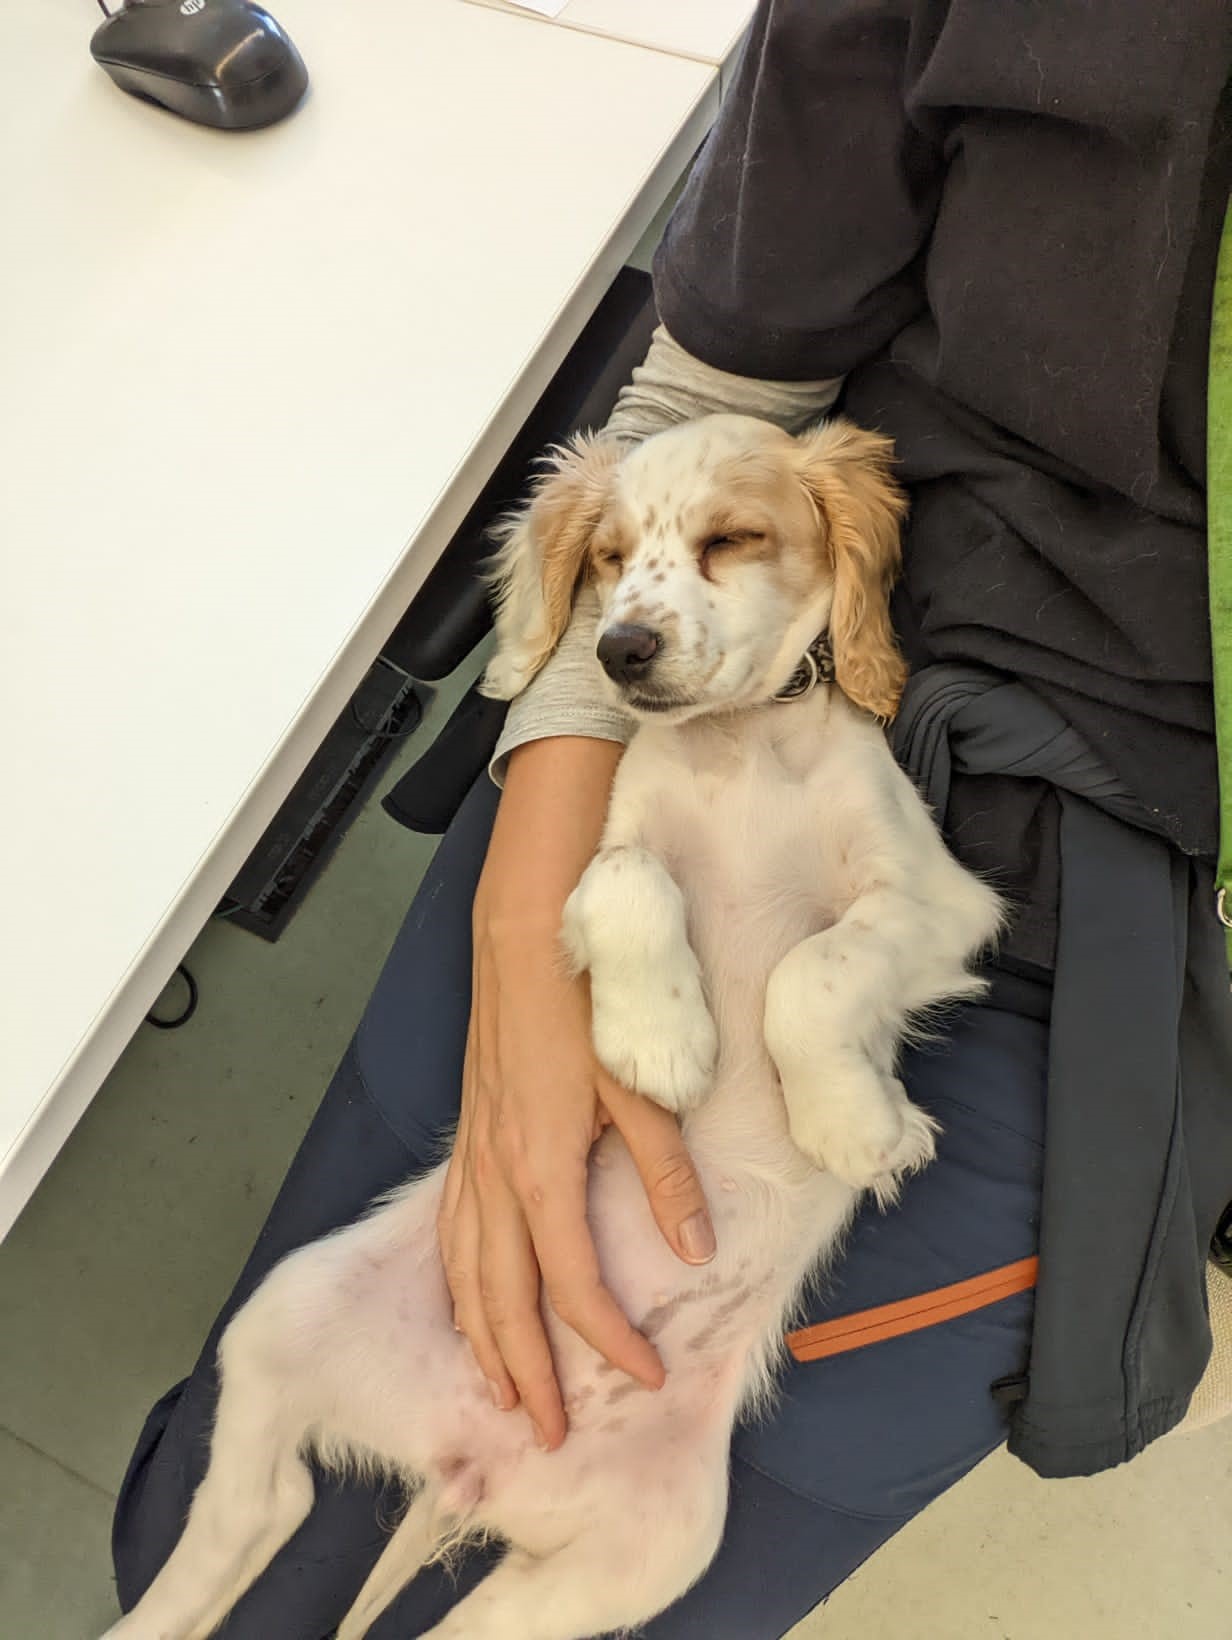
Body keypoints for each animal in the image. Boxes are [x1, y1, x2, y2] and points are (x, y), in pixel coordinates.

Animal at [105, 413, 1003, 1640]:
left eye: (732, 538)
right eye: (609, 558)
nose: (620, 649)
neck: (736, 746)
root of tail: (471, 1466)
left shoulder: (940, 904)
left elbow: (811, 970)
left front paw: (856, 1127)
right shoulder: (590, 866)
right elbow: (631, 879)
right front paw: (658, 1042)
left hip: (627, 1561)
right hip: (278, 1319)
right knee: (253, 1517)